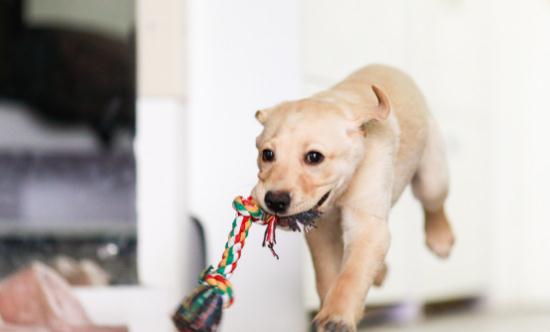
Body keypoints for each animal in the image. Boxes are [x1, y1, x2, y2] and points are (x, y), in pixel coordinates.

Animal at [252, 65, 454, 332]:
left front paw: (336, 316)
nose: (275, 200)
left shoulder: (367, 224)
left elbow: (352, 273)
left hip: (432, 174)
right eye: (267, 154)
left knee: (434, 204)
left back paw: (440, 238)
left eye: (314, 157)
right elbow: (328, 273)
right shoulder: (322, 232)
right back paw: (380, 272)